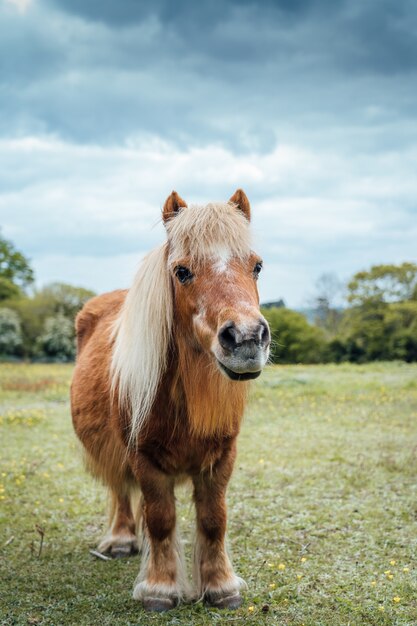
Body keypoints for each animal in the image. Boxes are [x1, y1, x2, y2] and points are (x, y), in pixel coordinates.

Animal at [71, 189, 270, 608]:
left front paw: (220, 586)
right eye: (182, 271)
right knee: (120, 490)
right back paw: (121, 540)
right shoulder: (143, 457)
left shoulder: (222, 457)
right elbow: (161, 519)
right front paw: (159, 588)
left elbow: (213, 519)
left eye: (257, 266)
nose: (245, 338)